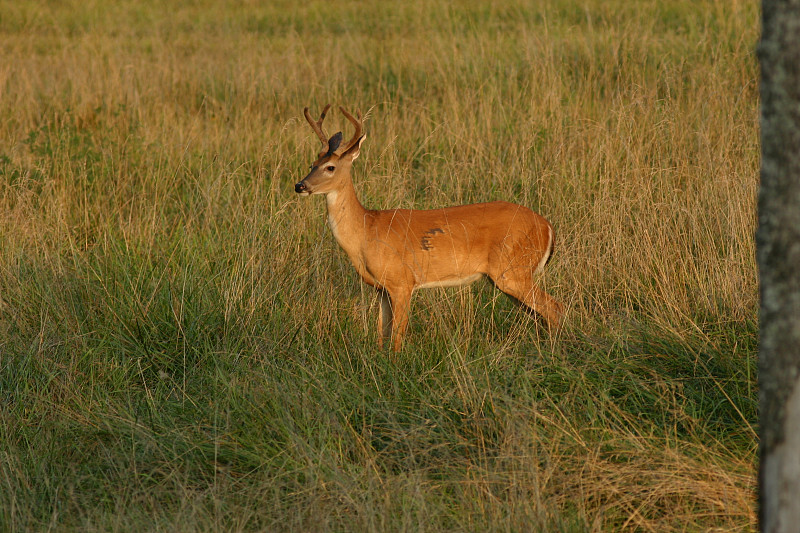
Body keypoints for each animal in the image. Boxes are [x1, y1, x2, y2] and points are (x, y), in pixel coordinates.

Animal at [294, 105, 564, 352]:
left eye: (330, 167)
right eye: (312, 163)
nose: (300, 185)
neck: (366, 230)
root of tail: (547, 227)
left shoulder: (402, 281)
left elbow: (396, 338)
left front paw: (394, 366)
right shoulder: (381, 289)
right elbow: (381, 334)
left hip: (514, 270)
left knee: (554, 307)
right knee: (542, 313)